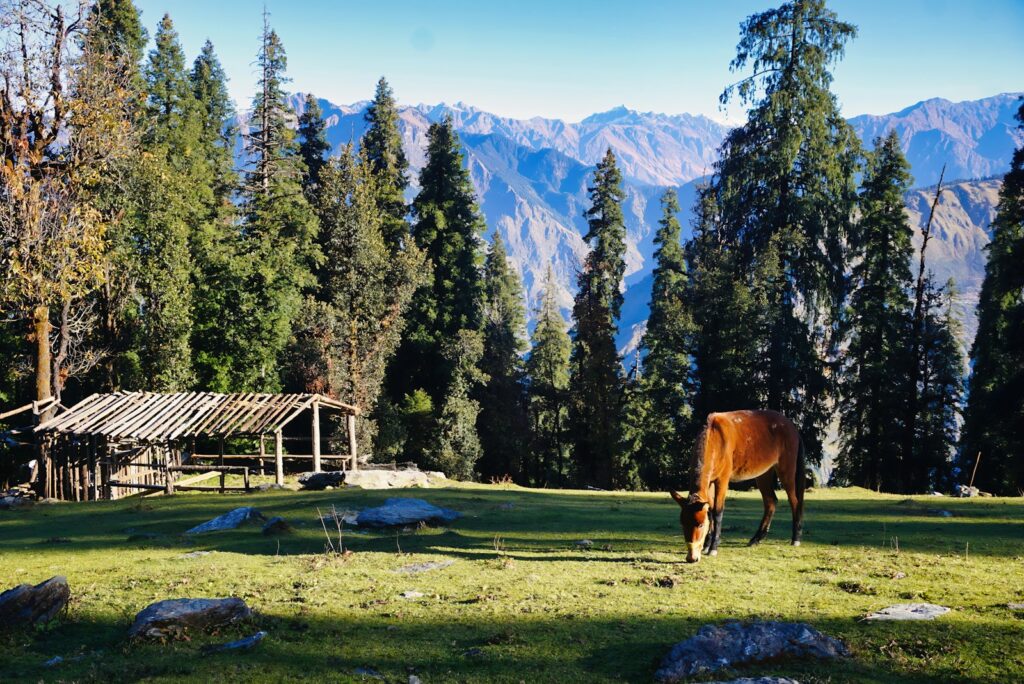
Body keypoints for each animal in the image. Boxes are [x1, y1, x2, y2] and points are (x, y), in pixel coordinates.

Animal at [667, 409, 802, 565]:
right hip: (764, 474)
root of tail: (792, 426)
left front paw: (713, 548)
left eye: (700, 525)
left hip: (786, 470)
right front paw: (707, 544)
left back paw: (796, 538)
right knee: (771, 501)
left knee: (794, 501)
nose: (691, 557)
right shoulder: (710, 482)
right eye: (683, 524)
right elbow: (710, 510)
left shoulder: (722, 480)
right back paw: (756, 539)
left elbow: (717, 511)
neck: (715, 437)